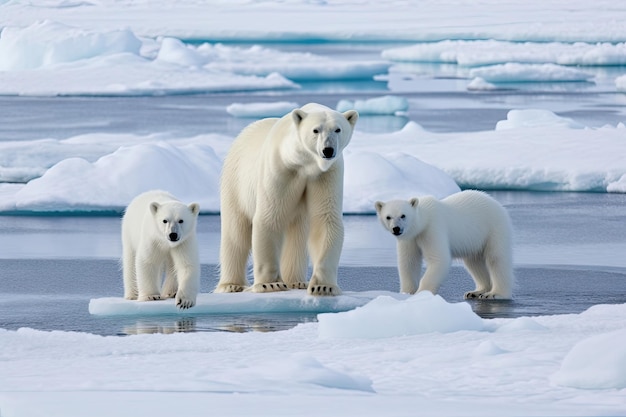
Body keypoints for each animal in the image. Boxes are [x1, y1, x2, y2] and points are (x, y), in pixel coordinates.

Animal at [217, 102, 358, 294]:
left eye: (338, 129)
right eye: (315, 130)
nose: (328, 150)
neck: (305, 163)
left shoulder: (326, 174)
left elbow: (325, 219)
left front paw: (323, 287)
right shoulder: (280, 168)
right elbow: (270, 216)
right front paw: (270, 284)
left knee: (297, 235)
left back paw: (297, 281)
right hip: (235, 182)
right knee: (235, 231)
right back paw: (231, 284)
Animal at [376, 190, 512, 298]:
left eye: (403, 215)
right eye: (388, 217)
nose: (396, 229)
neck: (424, 219)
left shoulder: (432, 229)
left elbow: (439, 259)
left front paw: (421, 294)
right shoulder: (410, 238)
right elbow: (409, 262)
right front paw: (406, 293)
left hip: (494, 229)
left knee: (496, 259)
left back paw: (495, 293)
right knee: (474, 262)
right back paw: (476, 291)